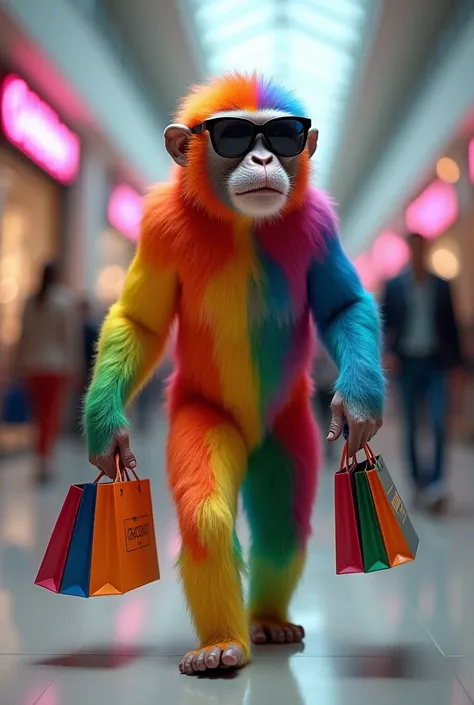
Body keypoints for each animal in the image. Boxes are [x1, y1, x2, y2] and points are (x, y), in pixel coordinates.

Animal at [84, 73, 386, 676]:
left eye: (284, 135)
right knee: (207, 516)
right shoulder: (160, 227)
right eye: (232, 135)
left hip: (288, 429)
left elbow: (345, 306)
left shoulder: (317, 224)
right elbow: (140, 324)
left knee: (281, 523)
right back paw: (223, 643)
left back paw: (266, 618)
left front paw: (358, 406)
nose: (264, 156)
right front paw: (105, 429)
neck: (245, 227)